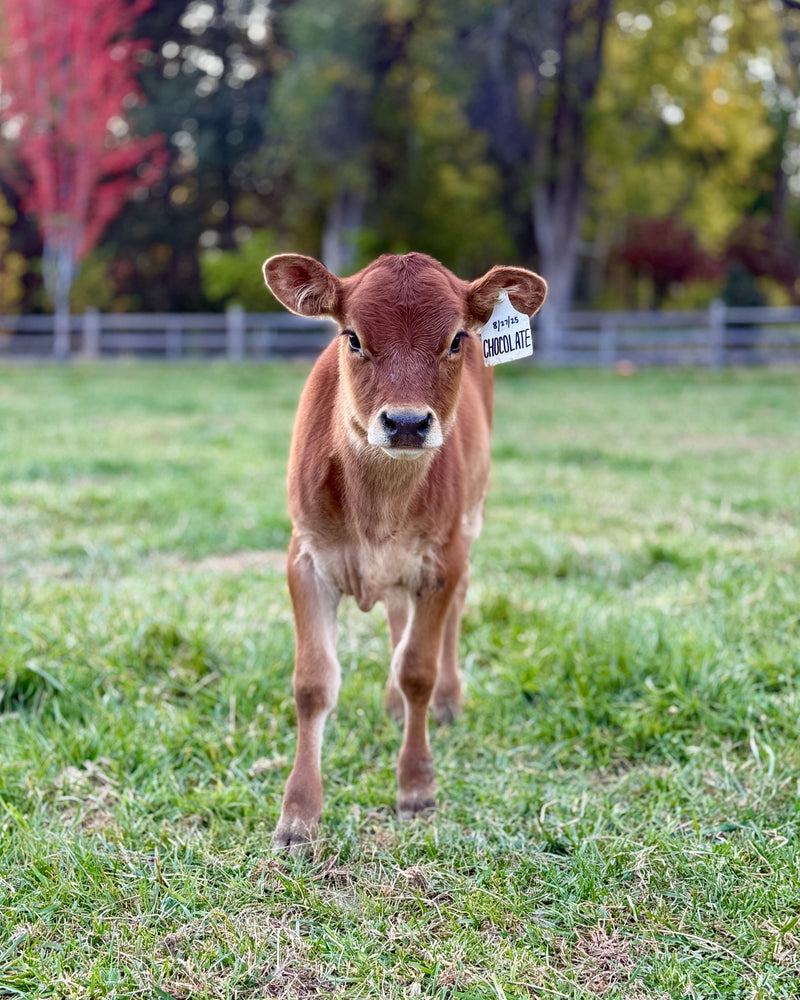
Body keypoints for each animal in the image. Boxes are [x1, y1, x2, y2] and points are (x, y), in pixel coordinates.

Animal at [263, 251, 547, 852]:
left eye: (457, 339)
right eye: (352, 337)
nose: (408, 423)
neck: (378, 508)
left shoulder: (442, 560)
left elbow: (419, 667)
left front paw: (416, 785)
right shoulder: (305, 559)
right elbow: (312, 684)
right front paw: (298, 816)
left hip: (470, 523)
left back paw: (447, 701)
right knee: (396, 615)